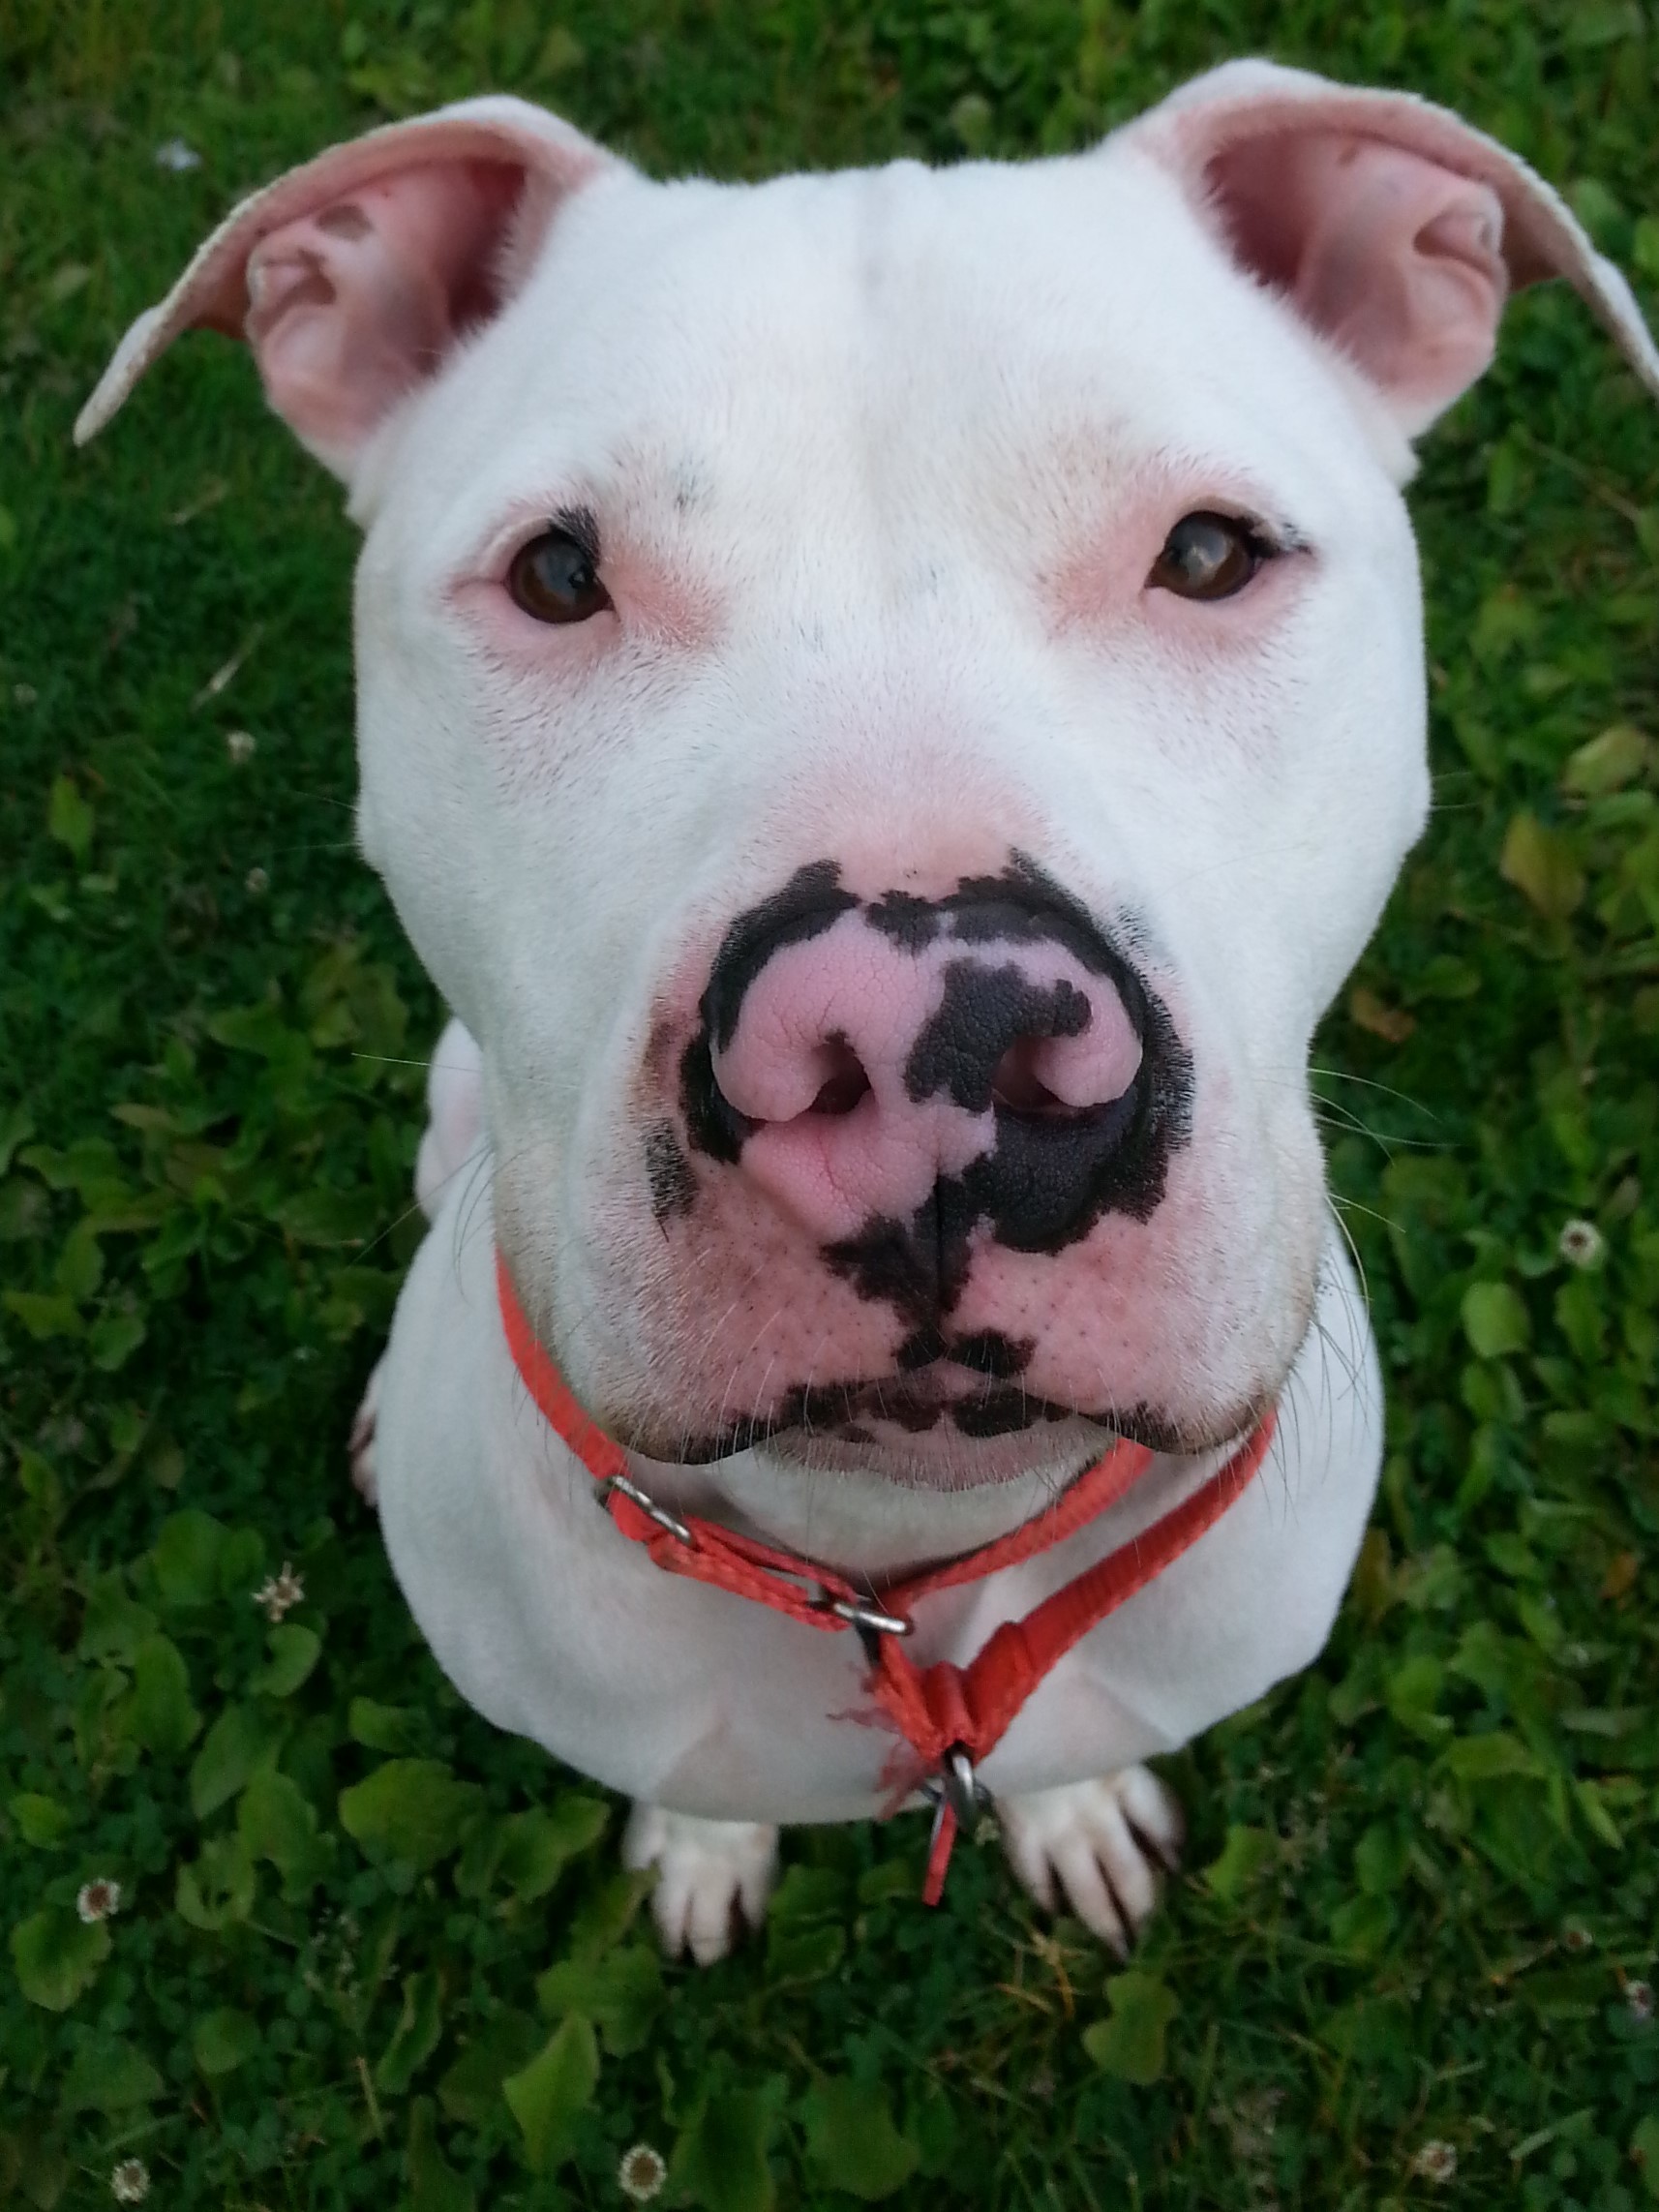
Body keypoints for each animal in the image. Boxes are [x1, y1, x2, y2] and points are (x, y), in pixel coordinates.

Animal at [80, 51, 1659, 1964]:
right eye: (556, 576)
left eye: (1211, 552)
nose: (929, 1047)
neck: (893, 1576)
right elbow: (693, 1783)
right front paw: (702, 1849)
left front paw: (1068, 1815)